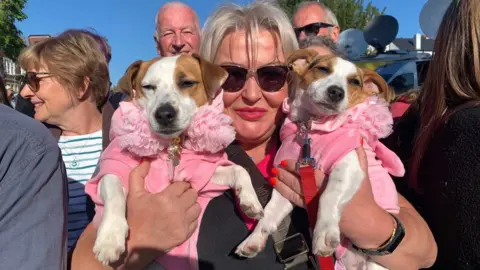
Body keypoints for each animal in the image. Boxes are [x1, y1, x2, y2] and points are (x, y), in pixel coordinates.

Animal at [236, 49, 404, 270]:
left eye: (354, 82)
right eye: (322, 69)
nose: (336, 92)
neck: (311, 127)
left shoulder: (349, 166)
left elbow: (329, 194)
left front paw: (324, 232)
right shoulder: (285, 183)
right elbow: (270, 213)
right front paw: (254, 239)